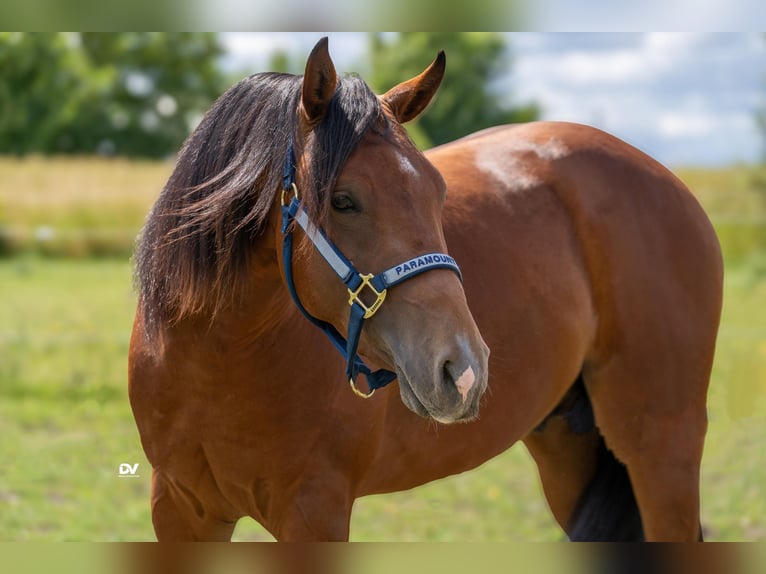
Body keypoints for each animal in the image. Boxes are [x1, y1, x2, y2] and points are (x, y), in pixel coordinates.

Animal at [128, 37, 723, 541]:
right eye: (342, 200)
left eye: (438, 192)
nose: (462, 368)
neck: (215, 359)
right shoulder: (179, 510)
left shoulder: (314, 512)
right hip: (567, 449)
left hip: (663, 448)